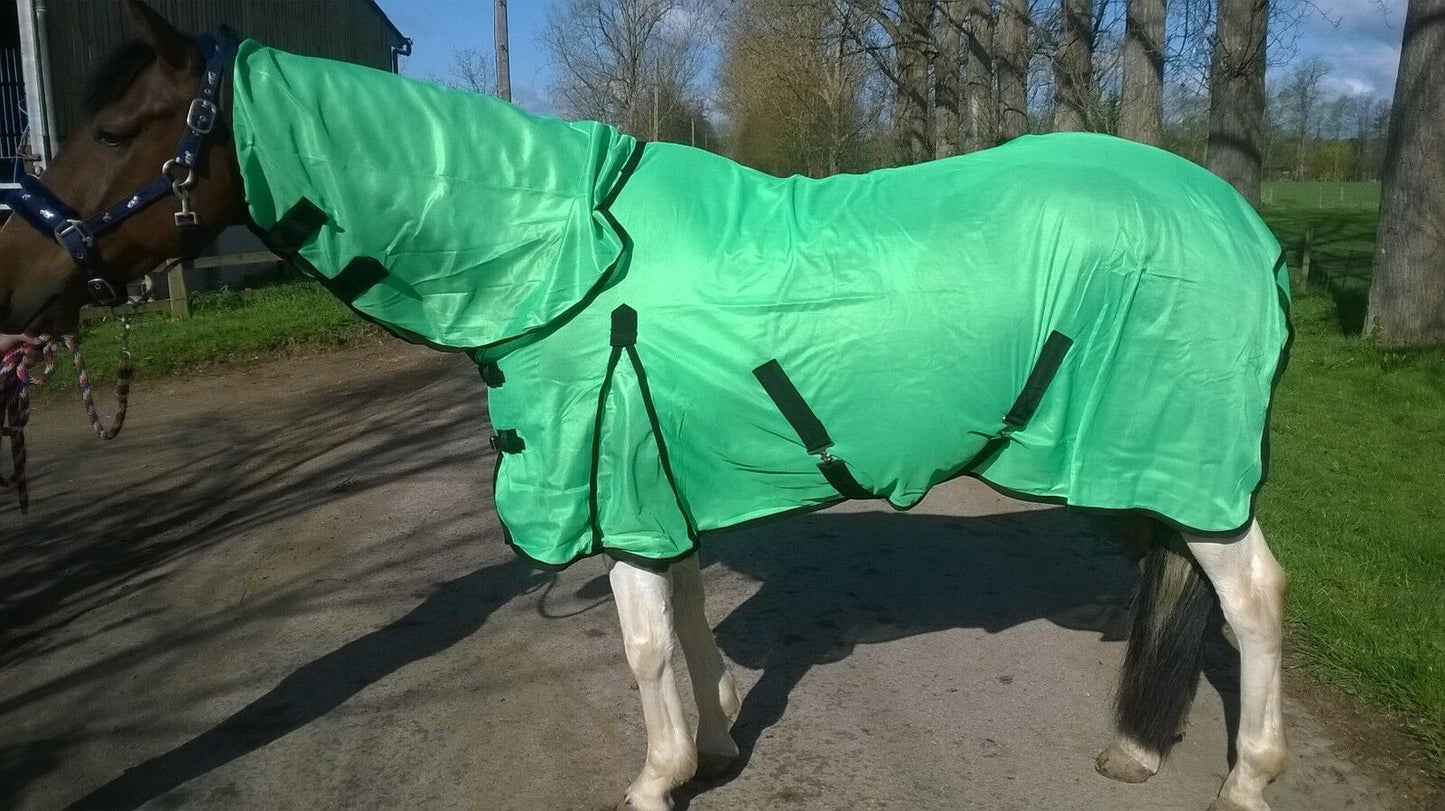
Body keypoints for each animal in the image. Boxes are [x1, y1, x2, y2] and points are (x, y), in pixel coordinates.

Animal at [0, 3, 1290, 809]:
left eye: (113, 128)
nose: (14, 285)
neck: (562, 250)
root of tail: (1239, 220)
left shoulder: (607, 471)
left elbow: (640, 640)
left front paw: (656, 775)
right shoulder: (657, 471)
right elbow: (687, 619)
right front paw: (712, 746)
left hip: (1187, 462)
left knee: (1252, 598)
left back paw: (1246, 777)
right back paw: (1136, 748)